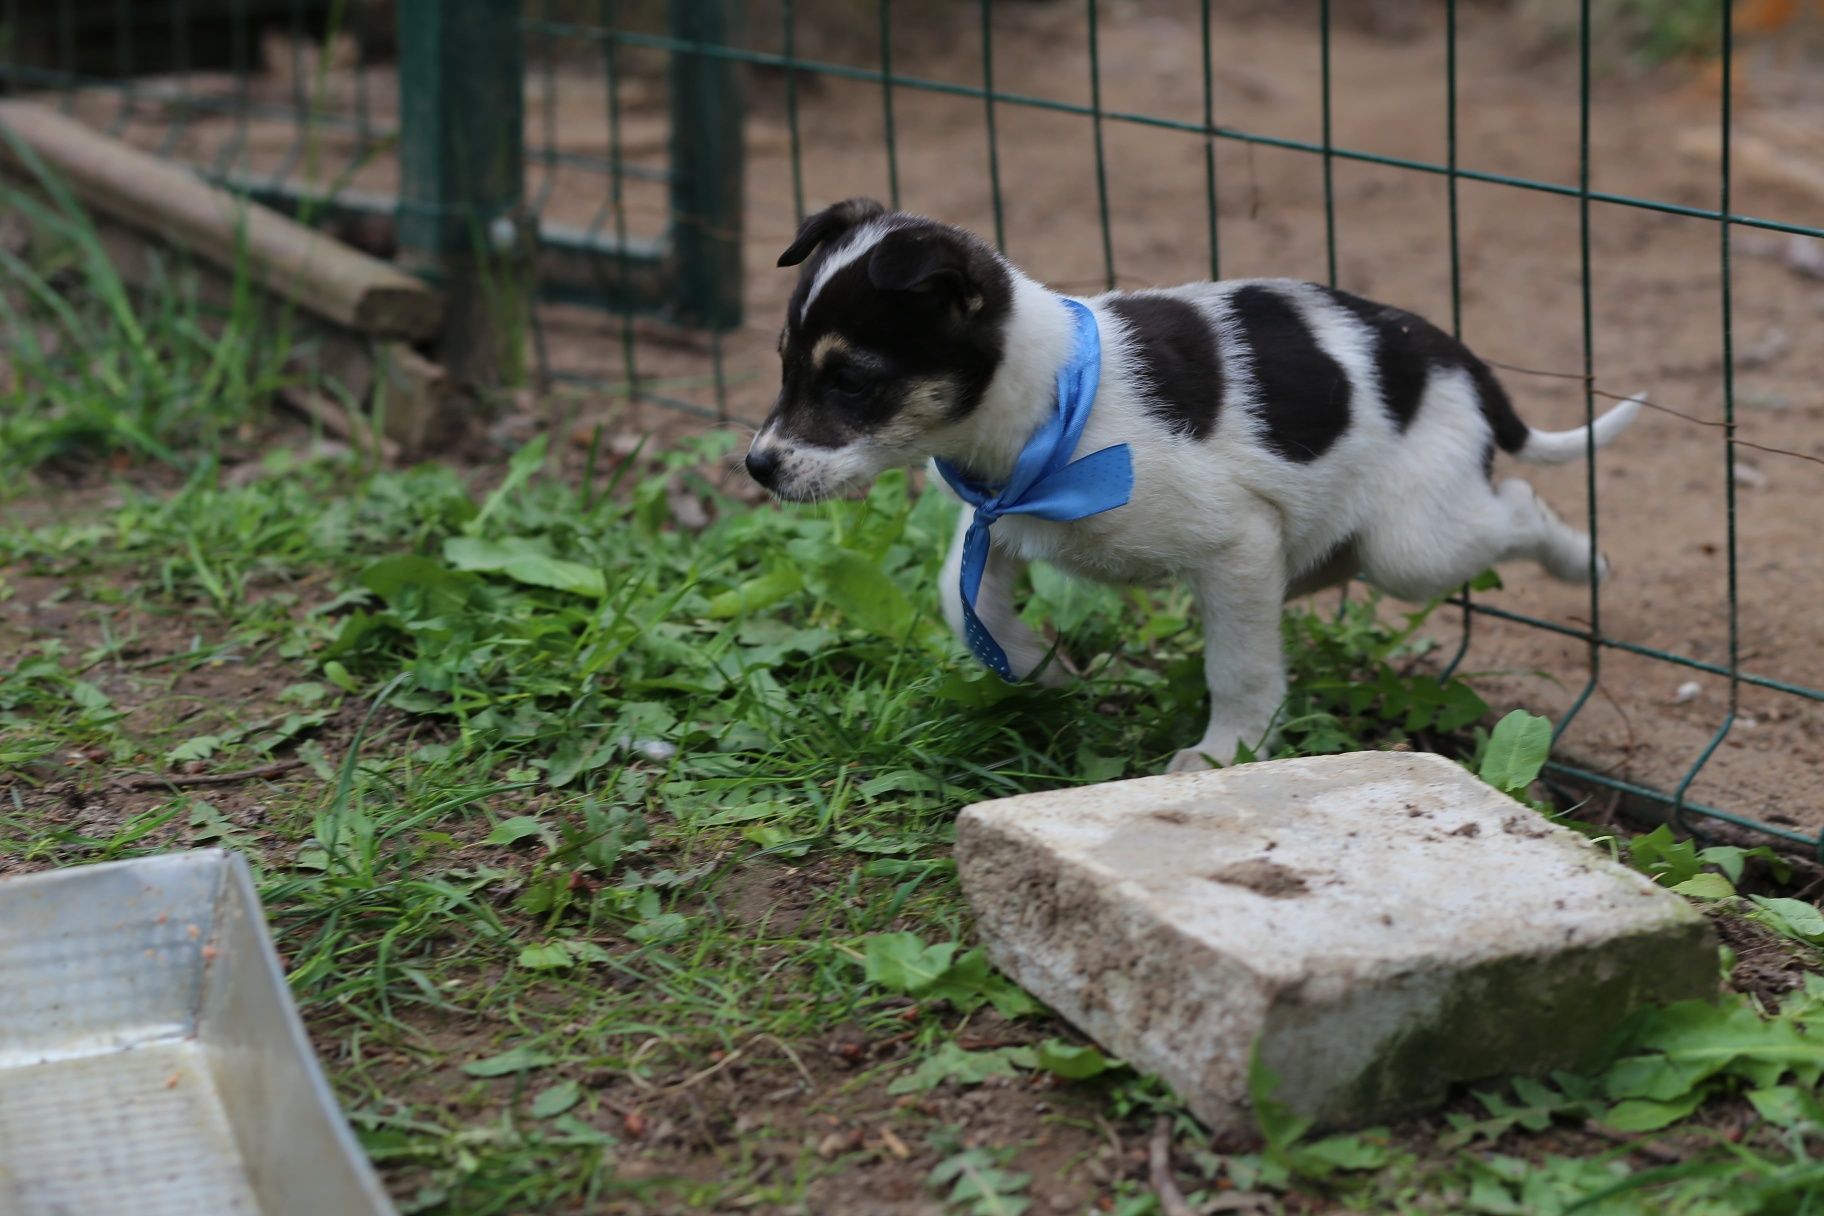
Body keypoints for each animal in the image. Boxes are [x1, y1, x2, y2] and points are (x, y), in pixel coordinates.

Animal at [740, 198, 1641, 769]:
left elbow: (1238, 668)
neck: (1056, 404)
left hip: (1415, 544)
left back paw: (1582, 560)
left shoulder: (1234, 546)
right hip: (1349, 544)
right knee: (1328, 555)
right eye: (783, 364)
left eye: (851, 380)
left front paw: (1226, 752)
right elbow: (967, 608)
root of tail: (1460, 360)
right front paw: (1044, 671)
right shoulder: (1001, 522)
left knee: (1514, 507)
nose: (757, 466)